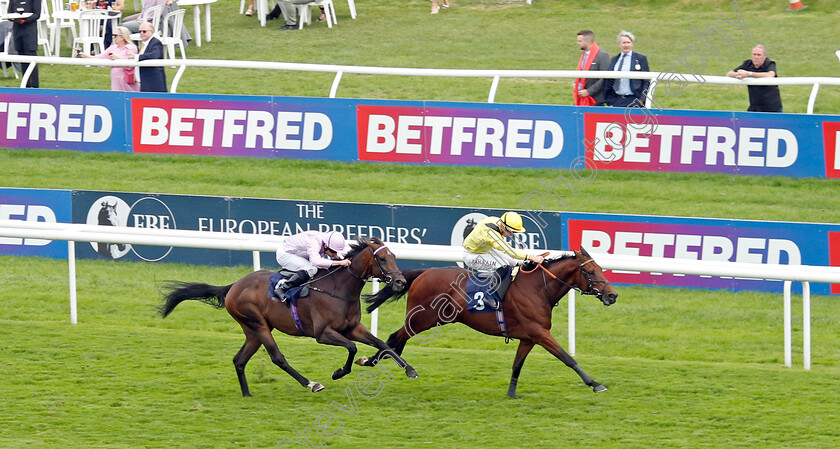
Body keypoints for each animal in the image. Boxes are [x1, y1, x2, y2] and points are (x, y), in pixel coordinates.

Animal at [158, 236, 416, 394]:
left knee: (239, 360)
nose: (401, 282)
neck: (338, 289)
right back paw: (311, 383)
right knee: (277, 357)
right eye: (382, 258)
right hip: (258, 324)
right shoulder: (323, 334)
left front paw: (409, 369)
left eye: (394, 256)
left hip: (253, 330)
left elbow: (382, 344)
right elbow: (352, 348)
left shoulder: (353, 328)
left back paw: (247, 394)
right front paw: (338, 372)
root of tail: (233, 286)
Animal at [360, 247, 616, 398]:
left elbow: (517, 365)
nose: (613, 295)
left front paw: (511, 393)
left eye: (600, 268)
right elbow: (567, 358)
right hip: (421, 319)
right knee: (395, 336)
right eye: (591, 272)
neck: (537, 289)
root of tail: (423, 273)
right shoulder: (540, 332)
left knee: (397, 339)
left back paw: (374, 361)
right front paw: (595, 383)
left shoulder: (529, 337)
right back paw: (377, 362)